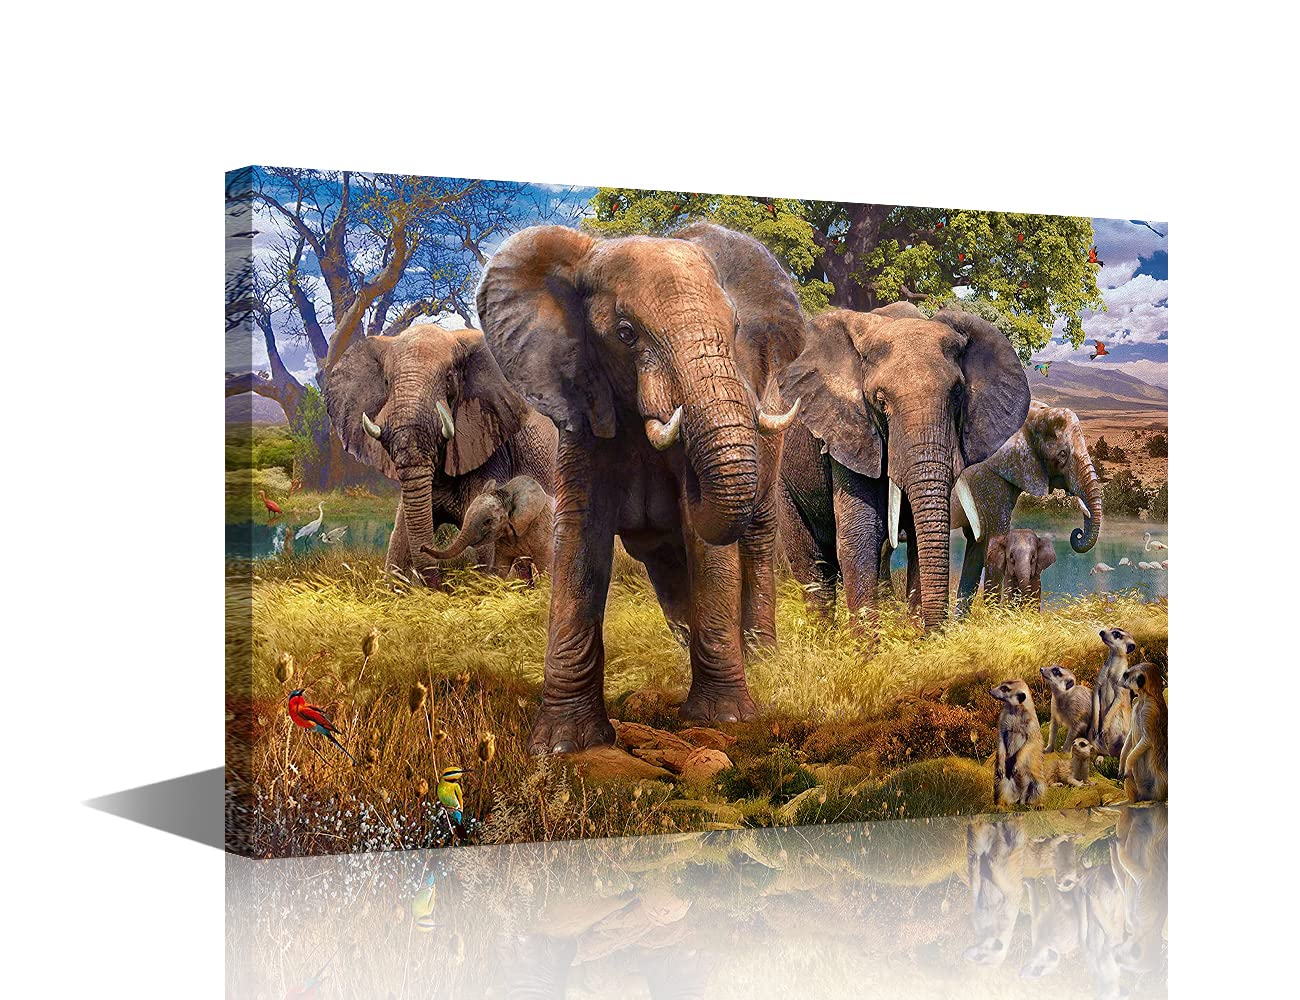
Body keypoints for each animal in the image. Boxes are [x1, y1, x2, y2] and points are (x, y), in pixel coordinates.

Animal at [477, 222, 805, 751]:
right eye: (626, 334)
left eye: (734, 327)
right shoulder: (582, 408)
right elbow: (580, 540)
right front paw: (563, 744)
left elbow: (705, 542)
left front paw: (725, 720)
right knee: (669, 565)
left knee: (754, 534)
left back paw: (759, 661)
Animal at [777, 302, 1030, 631]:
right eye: (880, 400)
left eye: (957, 394)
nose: (935, 635)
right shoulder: (850, 431)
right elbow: (859, 536)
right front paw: (869, 646)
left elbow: (917, 538)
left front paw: (914, 637)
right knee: (811, 563)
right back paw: (822, 637)